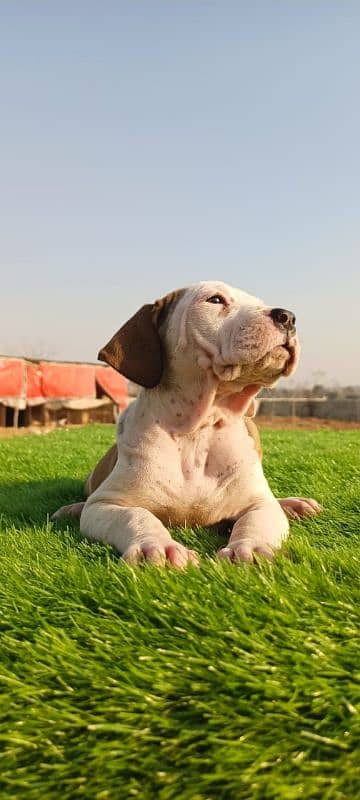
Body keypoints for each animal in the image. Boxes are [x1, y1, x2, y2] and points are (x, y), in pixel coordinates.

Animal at [52, 282, 320, 568]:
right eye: (215, 300)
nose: (288, 317)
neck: (198, 430)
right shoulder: (105, 504)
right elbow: (136, 515)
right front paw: (156, 545)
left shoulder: (260, 504)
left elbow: (256, 519)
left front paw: (250, 548)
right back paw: (71, 509)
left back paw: (293, 505)